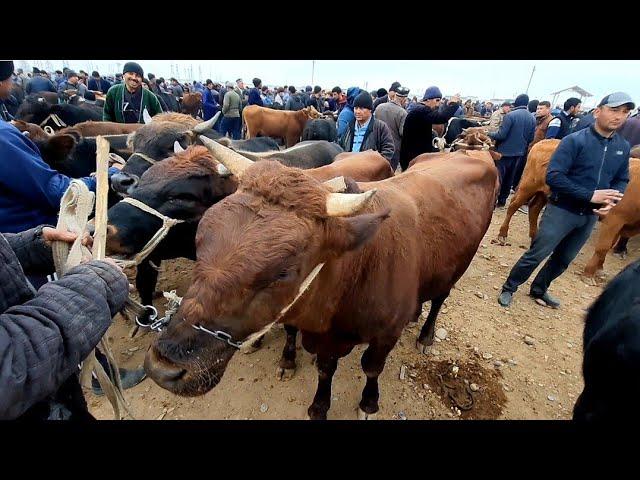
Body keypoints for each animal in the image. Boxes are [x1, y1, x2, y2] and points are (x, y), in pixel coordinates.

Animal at [142, 141, 498, 418]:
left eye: (284, 271)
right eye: (200, 238)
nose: (164, 366)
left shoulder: (385, 335)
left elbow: (372, 367)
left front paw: (368, 404)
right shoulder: (324, 337)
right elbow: (325, 369)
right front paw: (318, 405)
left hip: (459, 265)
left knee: (440, 298)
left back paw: (425, 334)